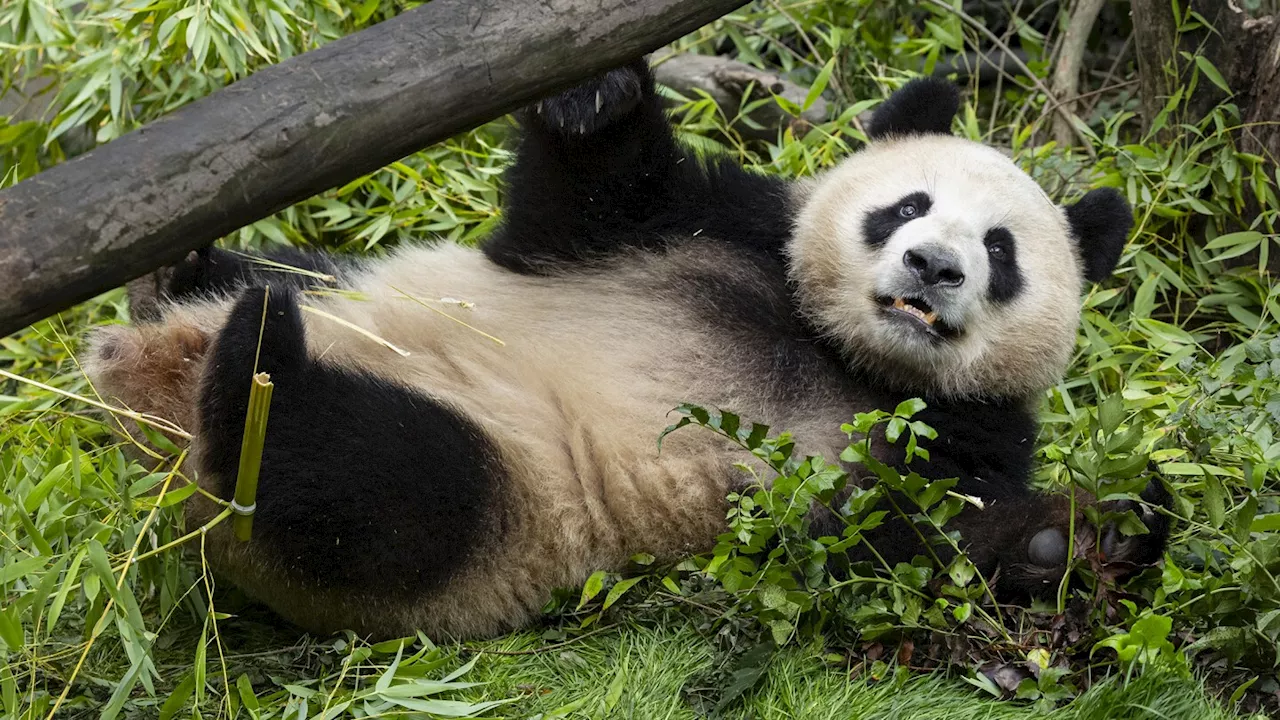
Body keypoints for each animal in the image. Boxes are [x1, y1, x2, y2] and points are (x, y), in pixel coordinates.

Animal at [85, 58, 1172, 635]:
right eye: (907, 205)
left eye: (1000, 252)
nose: (934, 265)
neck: (839, 350)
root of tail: (151, 397)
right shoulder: (714, 227)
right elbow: (579, 206)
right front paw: (596, 94)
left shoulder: (953, 433)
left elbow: (894, 545)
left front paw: (1084, 537)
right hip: (340, 288)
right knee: (282, 287)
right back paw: (187, 278)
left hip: (503, 507)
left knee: (372, 485)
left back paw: (251, 379)